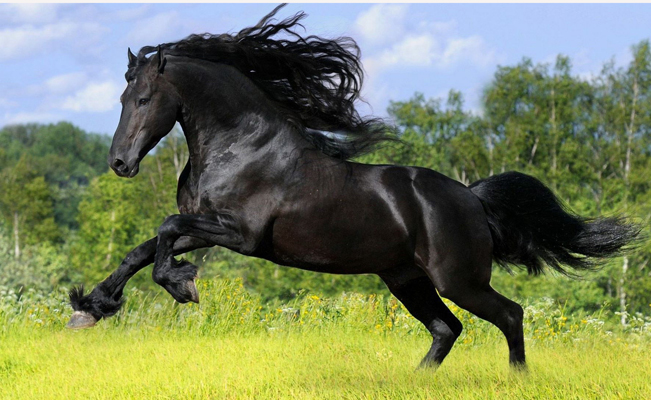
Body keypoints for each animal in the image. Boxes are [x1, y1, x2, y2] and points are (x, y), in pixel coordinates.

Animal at [67, 5, 639, 369]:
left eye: (144, 99)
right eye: (123, 99)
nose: (120, 163)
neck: (241, 146)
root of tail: (472, 197)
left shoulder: (241, 235)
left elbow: (163, 231)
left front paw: (181, 285)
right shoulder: (207, 227)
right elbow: (144, 247)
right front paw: (91, 307)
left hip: (458, 279)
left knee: (509, 315)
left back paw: (516, 380)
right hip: (406, 279)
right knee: (446, 330)